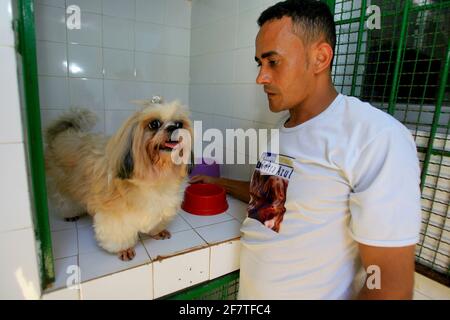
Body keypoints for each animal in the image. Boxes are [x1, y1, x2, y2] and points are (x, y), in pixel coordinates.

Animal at [45, 100, 192, 260]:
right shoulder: (115, 215)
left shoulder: (161, 205)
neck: (154, 175)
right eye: (154, 124)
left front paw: (158, 232)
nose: (173, 127)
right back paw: (70, 214)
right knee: (64, 201)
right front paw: (124, 249)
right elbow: (118, 234)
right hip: (63, 185)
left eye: (179, 124)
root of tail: (63, 134)